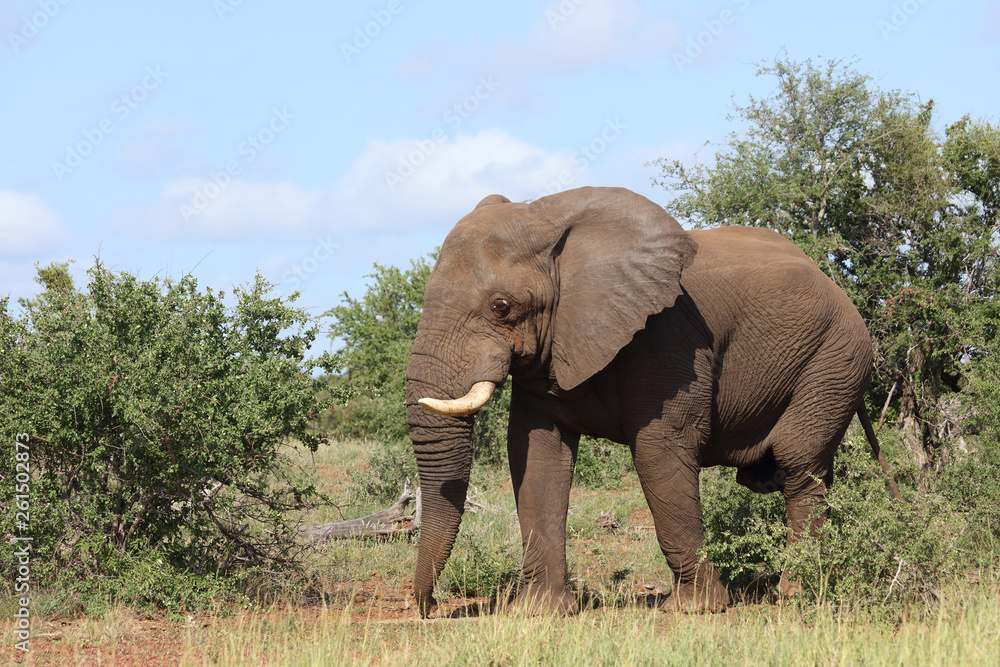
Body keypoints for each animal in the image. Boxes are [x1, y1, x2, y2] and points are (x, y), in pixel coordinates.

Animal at [402, 187, 896, 616]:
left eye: (501, 306)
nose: (431, 607)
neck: (550, 220)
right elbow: (537, 457)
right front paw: (539, 613)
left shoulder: (665, 335)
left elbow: (660, 450)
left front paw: (697, 609)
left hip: (836, 356)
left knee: (798, 464)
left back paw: (795, 594)